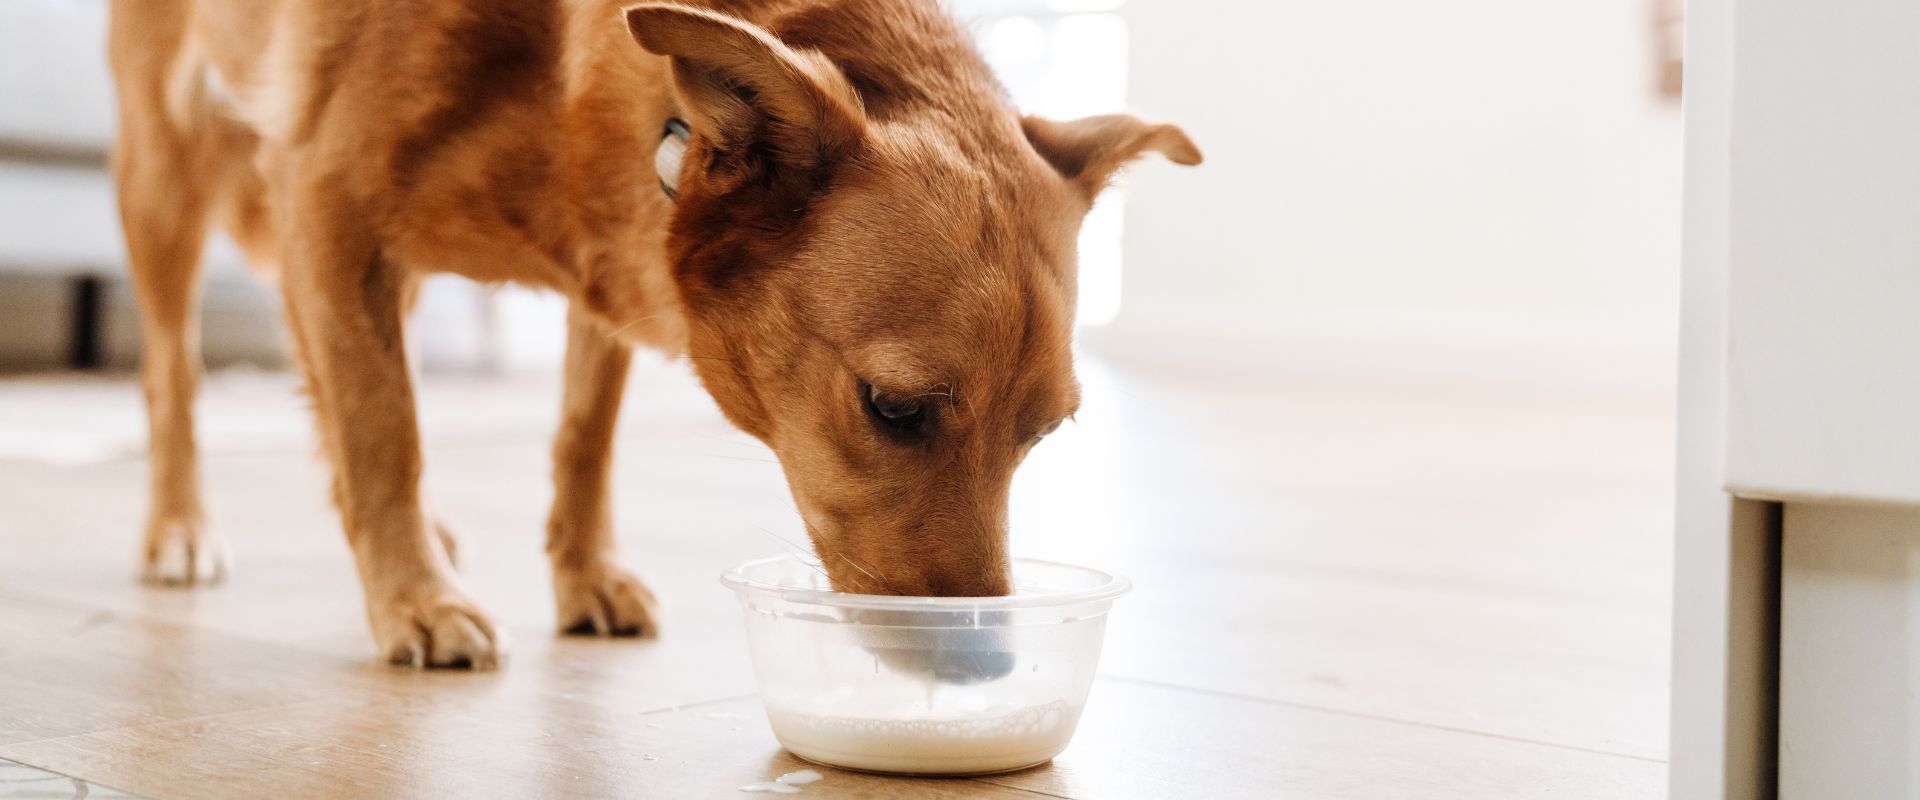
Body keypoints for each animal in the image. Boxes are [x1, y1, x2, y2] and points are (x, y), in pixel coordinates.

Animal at [108, 0, 1198, 667]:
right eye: (894, 408)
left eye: (1043, 435)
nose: (988, 663)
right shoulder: (326, 202)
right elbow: (386, 429)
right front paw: (418, 598)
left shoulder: (608, 268)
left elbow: (582, 437)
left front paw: (580, 573)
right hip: (168, 171)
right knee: (176, 378)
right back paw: (180, 528)